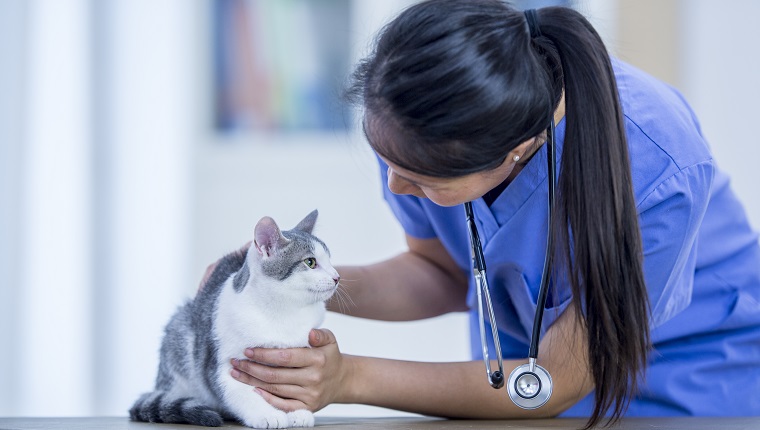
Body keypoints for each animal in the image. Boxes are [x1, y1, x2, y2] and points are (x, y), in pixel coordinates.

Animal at [130, 210, 338, 428]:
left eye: (330, 261)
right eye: (310, 262)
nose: (337, 276)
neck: (283, 312)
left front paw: (295, 410)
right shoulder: (221, 365)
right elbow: (241, 393)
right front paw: (266, 414)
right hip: (178, 337)